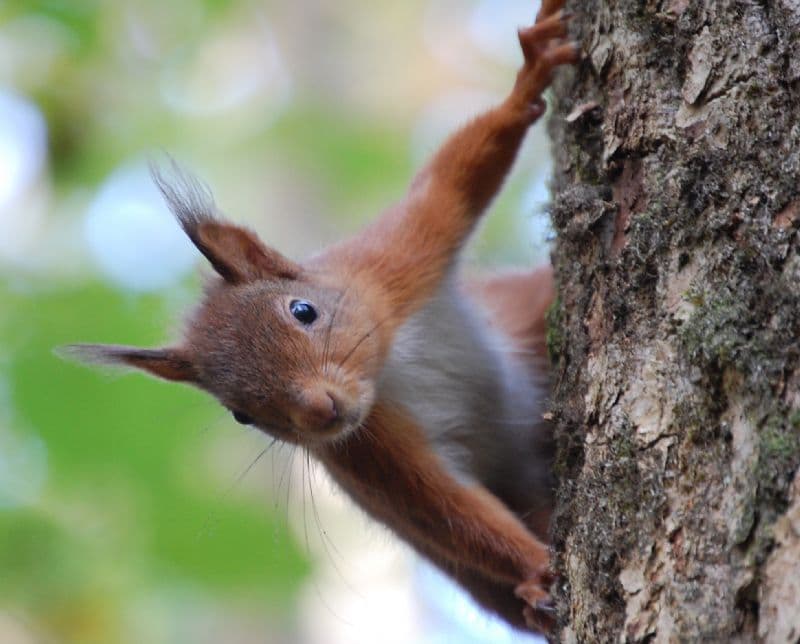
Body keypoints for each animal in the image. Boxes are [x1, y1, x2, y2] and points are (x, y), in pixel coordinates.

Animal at [69, 2, 580, 632]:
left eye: (304, 310)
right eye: (240, 414)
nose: (320, 410)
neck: (390, 369)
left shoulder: (389, 265)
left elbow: (454, 179)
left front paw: (528, 80)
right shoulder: (366, 452)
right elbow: (447, 512)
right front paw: (536, 569)